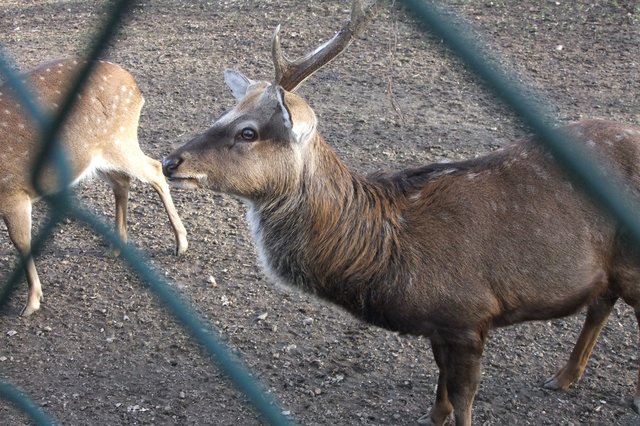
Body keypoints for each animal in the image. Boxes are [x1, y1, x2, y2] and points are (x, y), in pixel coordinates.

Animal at [0, 58, 188, 317]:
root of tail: (134, 87)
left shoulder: (13, 192)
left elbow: (21, 242)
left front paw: (32, 302)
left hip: (120, 140)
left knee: (156, 169)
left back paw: (181, 242)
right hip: (99, 156)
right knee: (123, 182)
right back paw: (117, 246)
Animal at [161, 1, 640, 424]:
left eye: (248, 132)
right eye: (224, 113)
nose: (169, 161)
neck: (393, 255)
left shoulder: (468, 314)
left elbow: (463, 399)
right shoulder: (439, 324)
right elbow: (440, 386)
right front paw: (434, 414)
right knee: (601, 302)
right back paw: (563, 377)